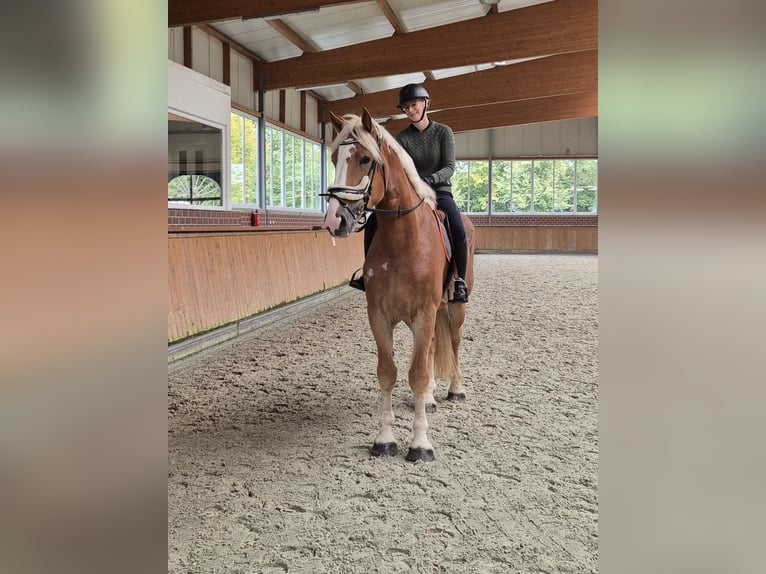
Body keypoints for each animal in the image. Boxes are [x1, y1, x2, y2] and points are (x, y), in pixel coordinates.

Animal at [322, 110, 474, 466]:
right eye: (334, 158)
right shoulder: (379, 315)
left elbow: (415, 374)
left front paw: (420, 445)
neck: (404, 239)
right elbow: (387, 372)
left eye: (365, 159)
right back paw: (431, 397)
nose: (335, 221)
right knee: (431, 348)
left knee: (454, 342)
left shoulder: (423, 313)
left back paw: (456, 389)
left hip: (454, 306)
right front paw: (385, 439)